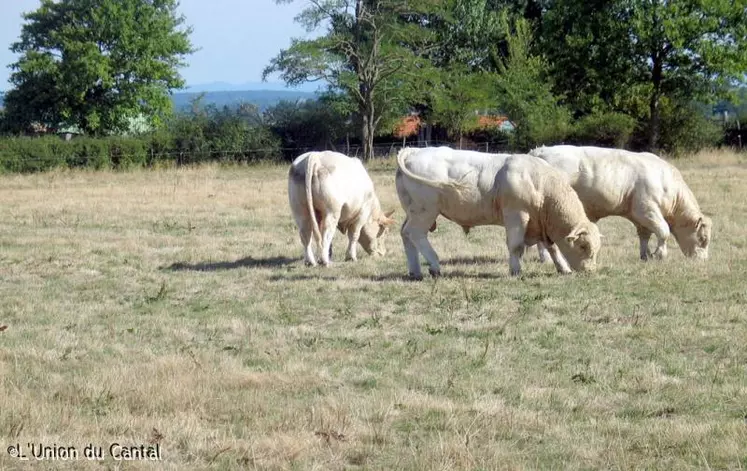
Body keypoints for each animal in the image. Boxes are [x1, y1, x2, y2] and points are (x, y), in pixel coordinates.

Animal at [398, 148, 600, 278]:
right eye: (583, 246)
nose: (590, 271)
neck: (539, 183)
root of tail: (413, 151)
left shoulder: (542, 224)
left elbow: (553, 248)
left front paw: (563, 268)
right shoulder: (517, 216)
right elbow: (516, 246)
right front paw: (516, 271)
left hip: (412, 211)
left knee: (405, 234)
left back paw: (415, 271)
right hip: (425, 210)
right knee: (415, 233)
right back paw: (434, 265)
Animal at [528, 146, 712, 260]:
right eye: (703, 239)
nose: (703, 261)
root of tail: (539, 151)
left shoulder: (638, 216)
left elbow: (644, 235)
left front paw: (645, 256)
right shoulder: (646, 210)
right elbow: (664, 231)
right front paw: (659, 254)